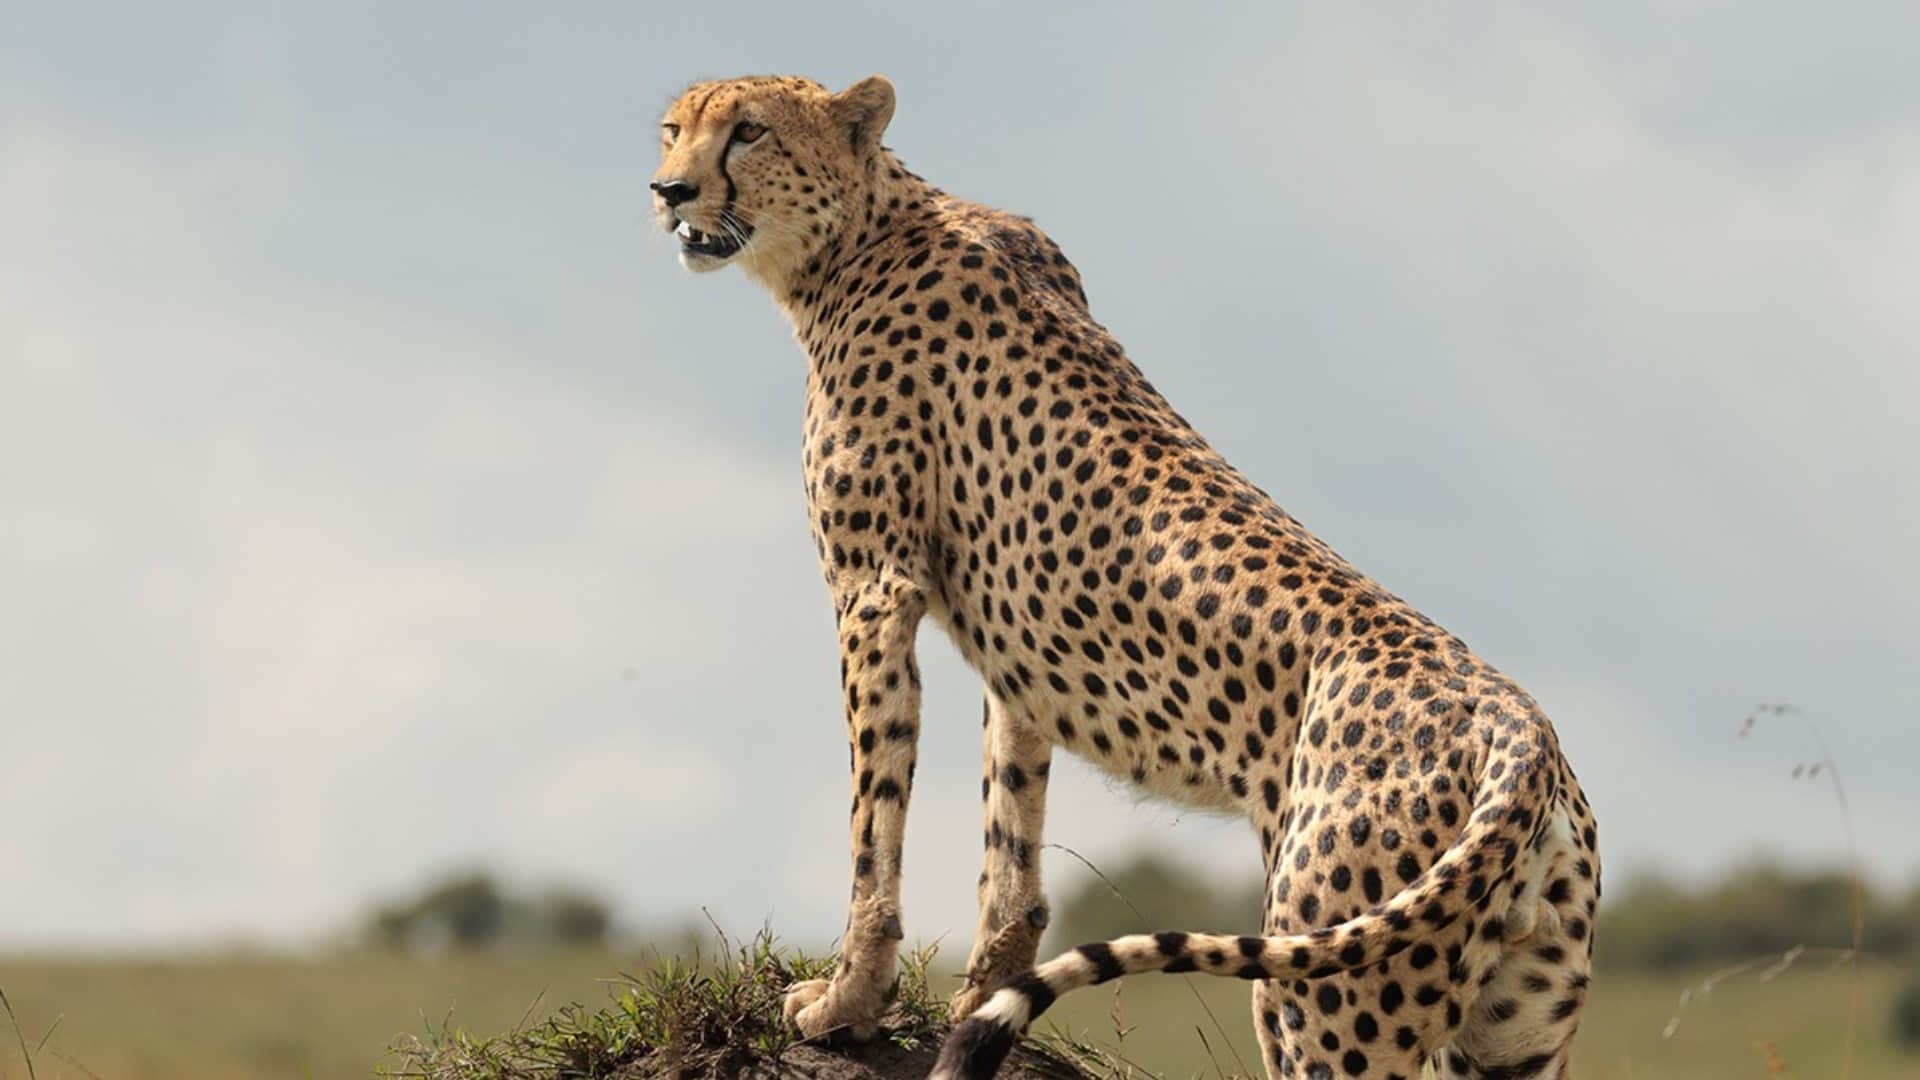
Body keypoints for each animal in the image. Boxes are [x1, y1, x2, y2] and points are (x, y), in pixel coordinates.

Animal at [649, 73, 1600, 1080]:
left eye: (749, 132)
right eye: (673, 130)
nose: (668, 191)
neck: (860, 234)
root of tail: (1523, 726)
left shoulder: (874, 591)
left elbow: (876, 818)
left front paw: (844, 1003)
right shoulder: (1015, 651)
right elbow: (1010, 837)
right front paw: (977, 1003)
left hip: (1322, 999)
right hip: (1510, 1032)